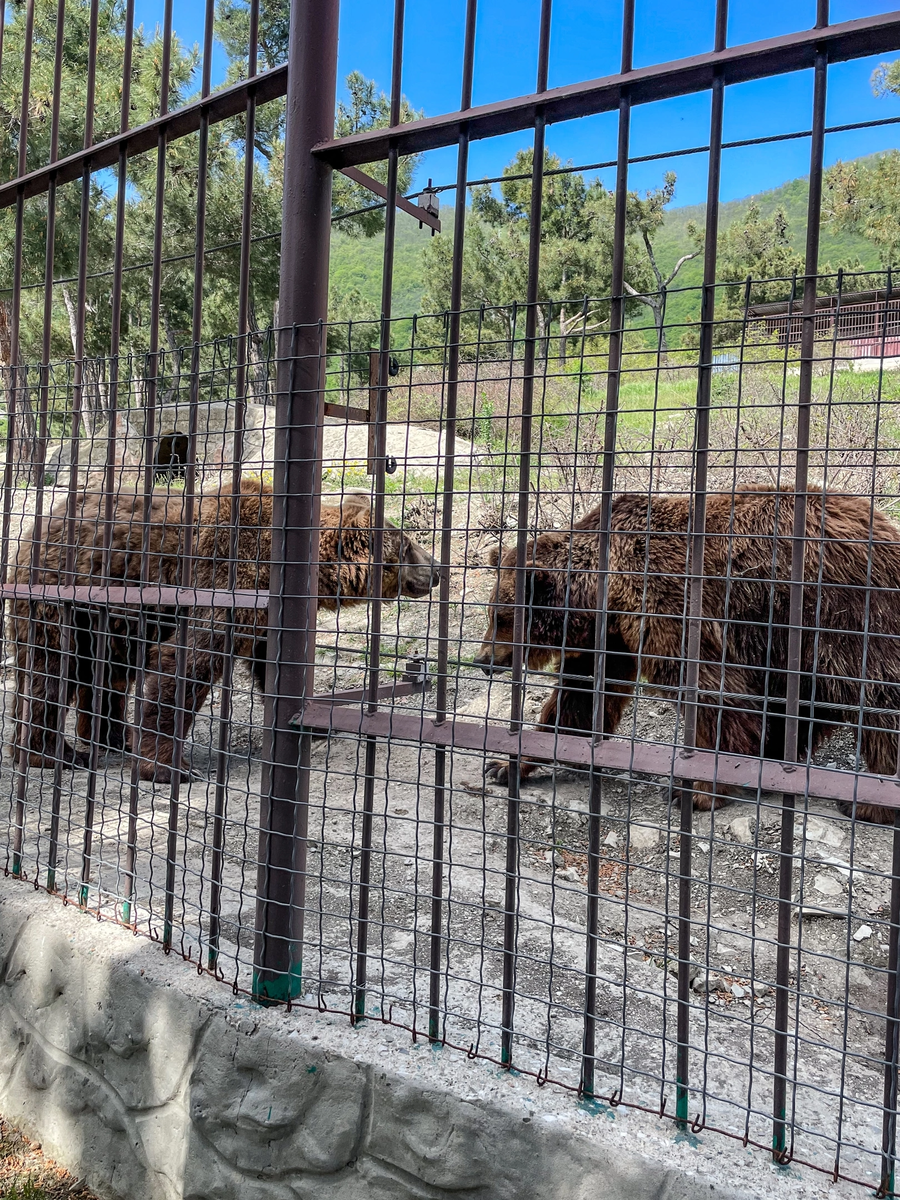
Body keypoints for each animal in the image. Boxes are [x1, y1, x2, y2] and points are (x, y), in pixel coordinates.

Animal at [10, 477, 441, 777]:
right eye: (408, 546)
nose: (436, 569)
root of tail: (31, 531)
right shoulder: (225, 582)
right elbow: (186, 663)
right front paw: (169, 767)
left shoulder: (265, 618)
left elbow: (275, 667)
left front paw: (319, 723)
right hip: (62, 598)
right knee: (52, 670)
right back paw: (55, 753)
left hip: (109, 619)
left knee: (103, 674)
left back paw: (111, 738)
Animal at [475, 480, 900, 825]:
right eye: (492, 612)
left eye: (501, 617)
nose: (483, 661)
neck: (604, 590)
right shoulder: (612, 638)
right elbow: (578, 700)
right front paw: (506, 764)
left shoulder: (670, 605)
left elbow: (715, 694)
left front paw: (695, 790)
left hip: (844, 615)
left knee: (878, 698)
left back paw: (869, 801)